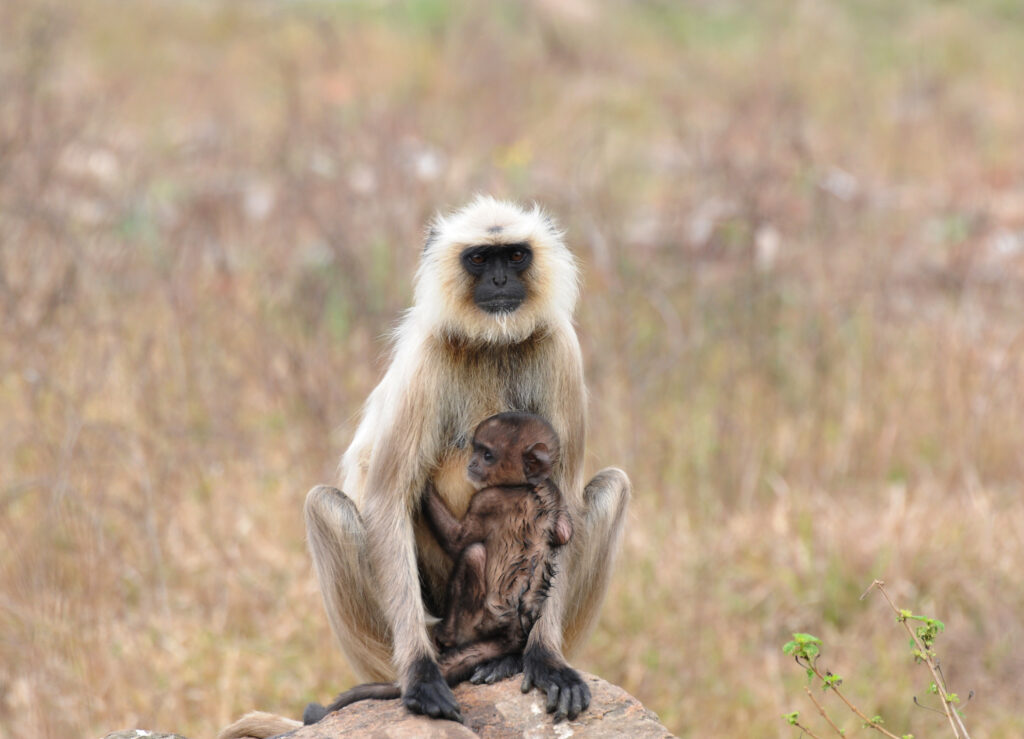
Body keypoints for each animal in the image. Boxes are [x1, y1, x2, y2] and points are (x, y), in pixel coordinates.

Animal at [302, 412, 576, 724]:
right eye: (478, 451)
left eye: (487, 454)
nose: (472, 464)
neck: (527, 487)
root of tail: (512, 632)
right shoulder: (552, 494)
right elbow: (564, 534)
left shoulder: (490, 498)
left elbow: (459, 541)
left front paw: (424, 490)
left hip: (476, 620)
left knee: (473, 553)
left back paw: (447, 637)